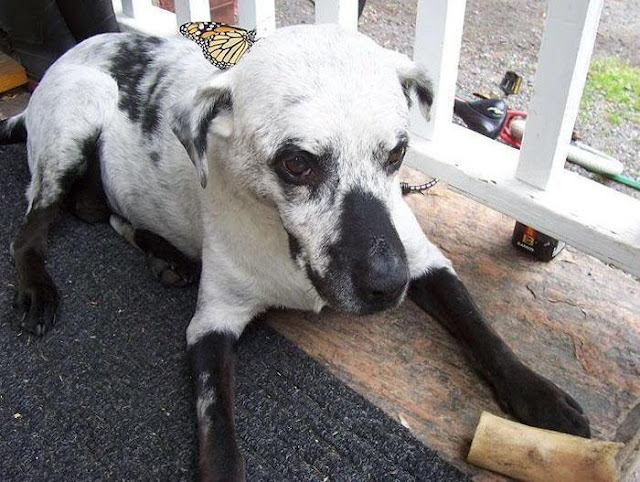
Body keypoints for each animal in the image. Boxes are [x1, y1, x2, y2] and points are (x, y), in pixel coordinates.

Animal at [1, 24, 592, 480]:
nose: (387, 284)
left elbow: (480, 328)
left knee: (104, 213)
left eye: (397, 152)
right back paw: (37, 289)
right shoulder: (211, 324)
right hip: (72, 127)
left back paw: (165, 255)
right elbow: (217, 424)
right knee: (32, 227)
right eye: (297, 163)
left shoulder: (423, 259)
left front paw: (539, 397)